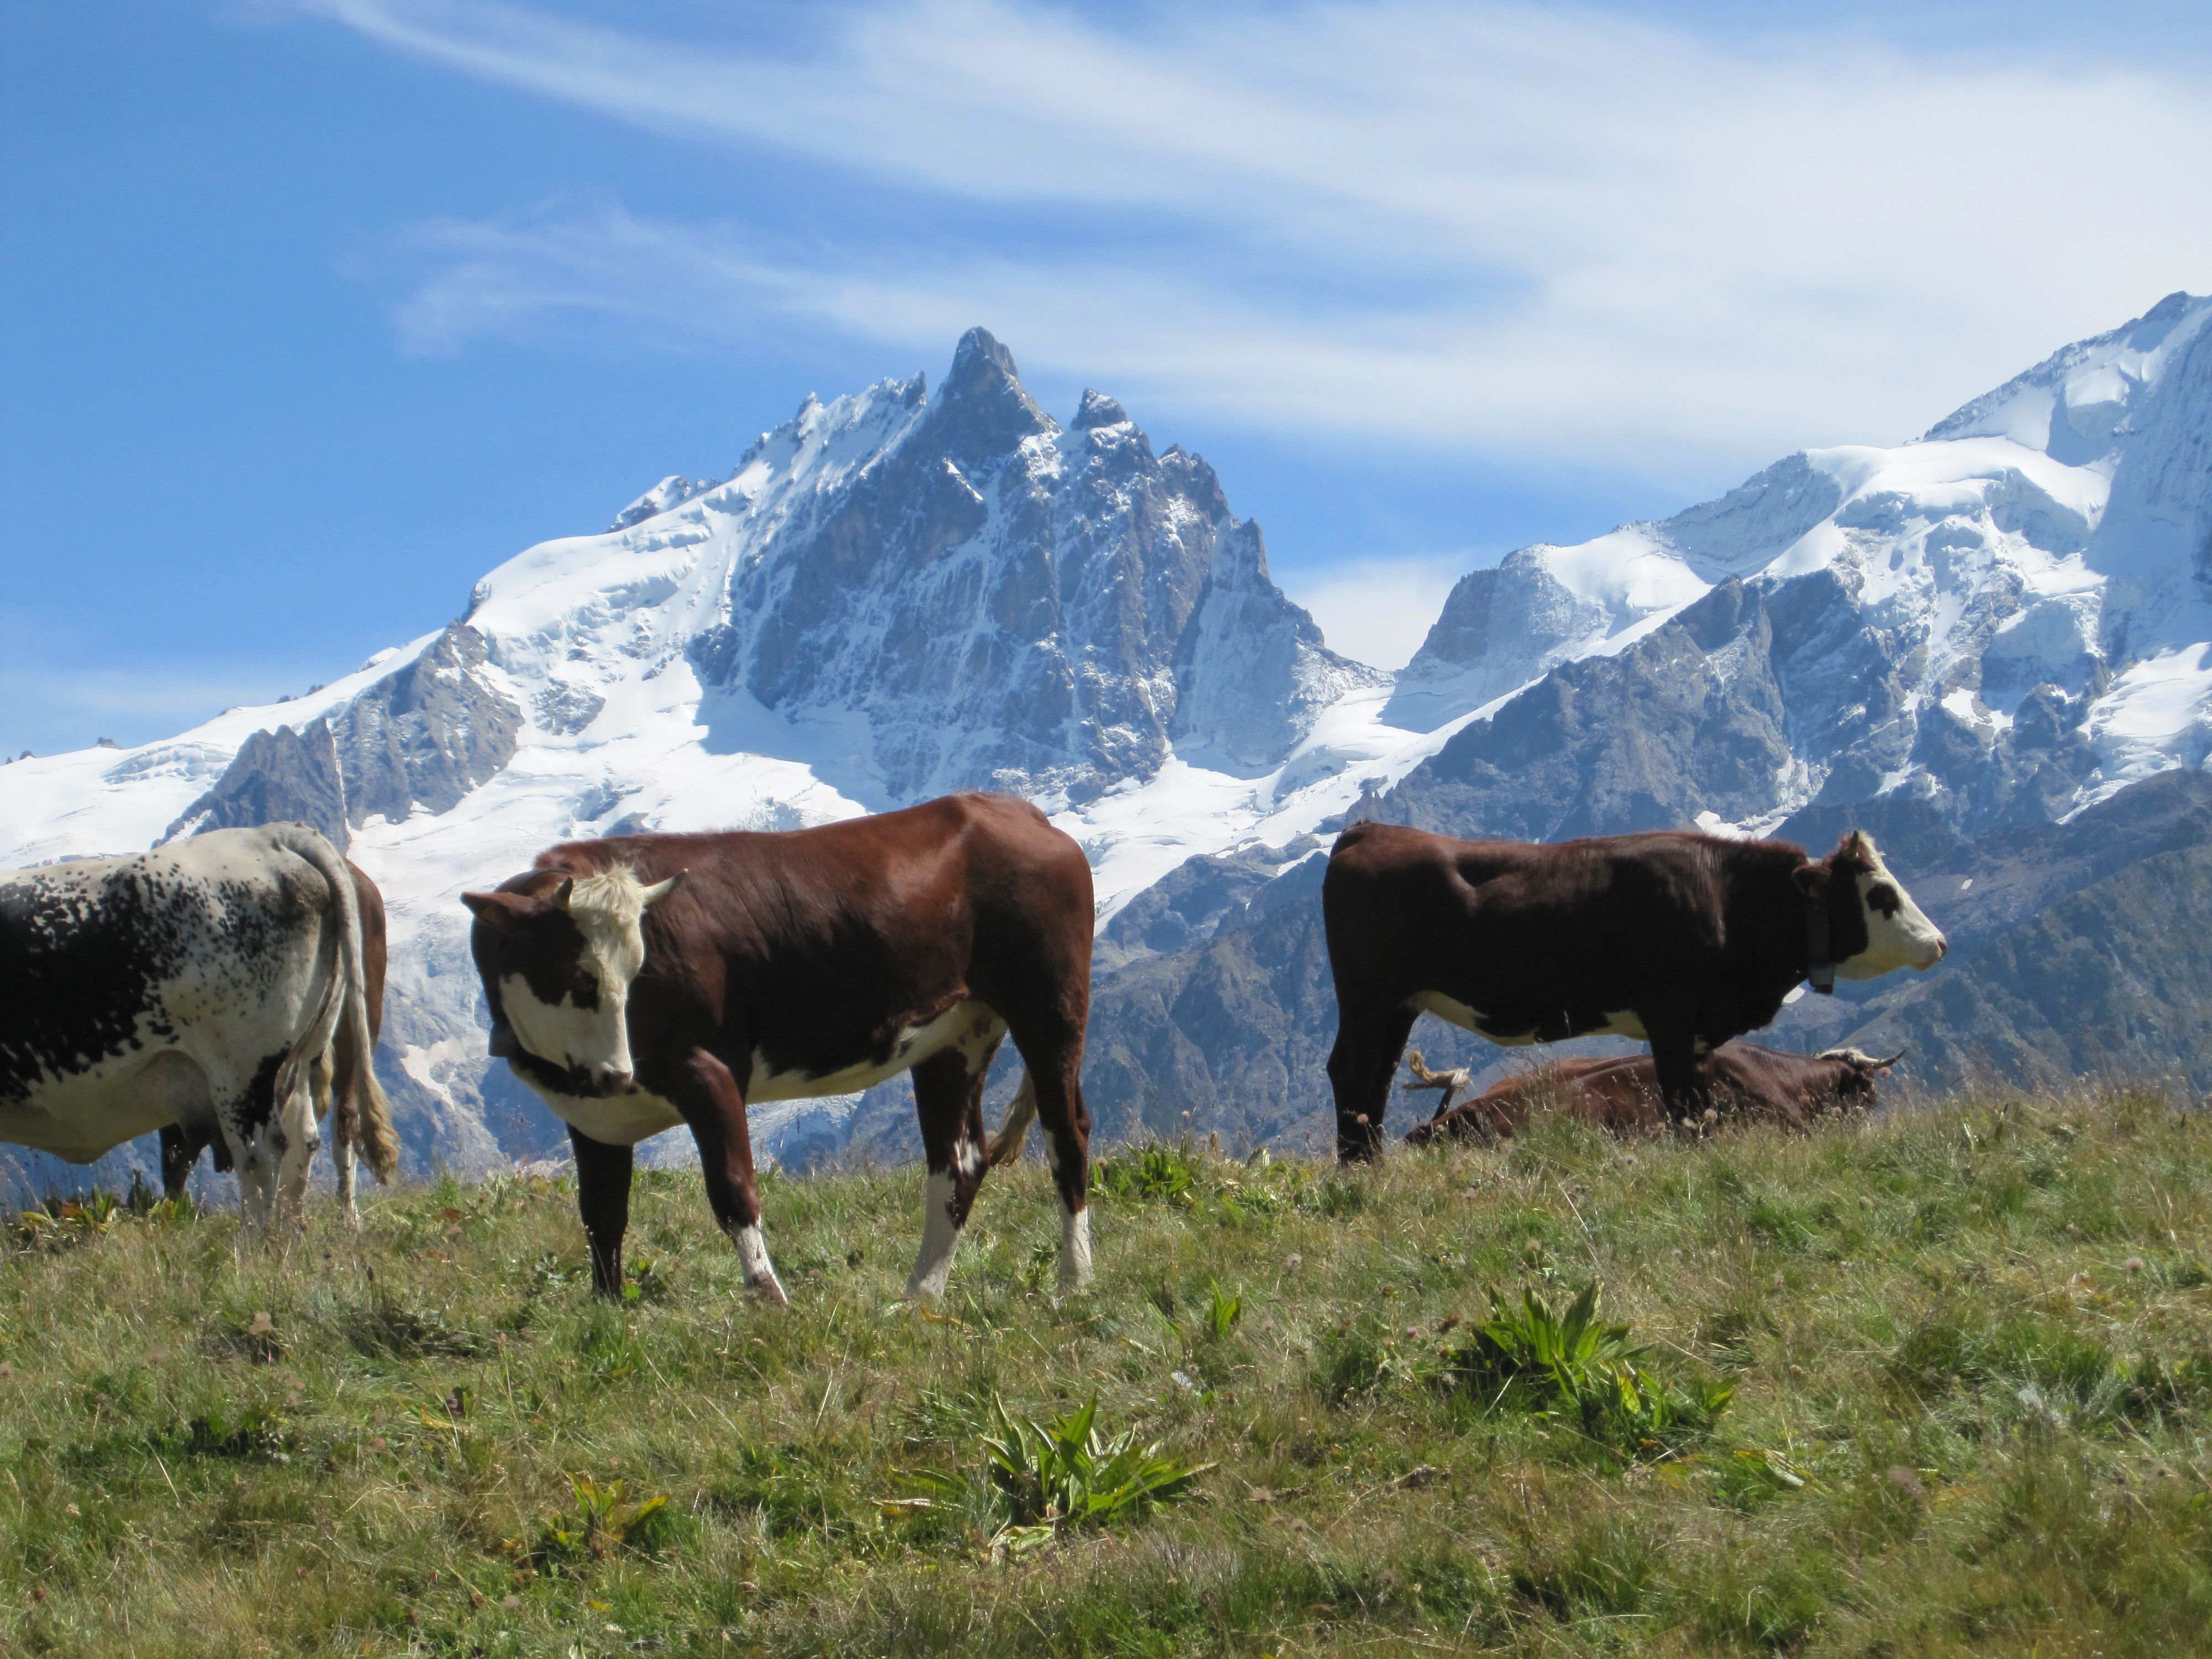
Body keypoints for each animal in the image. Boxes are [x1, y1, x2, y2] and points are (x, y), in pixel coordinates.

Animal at [460, 796, 1097, 1310]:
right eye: (580, 975)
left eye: (637, 969)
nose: (618, 1072)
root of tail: (1016, 810)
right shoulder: (593, 1116)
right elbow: (601, 1214)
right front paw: (607, 1308)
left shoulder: (708, 1068)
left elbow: (732, 1190)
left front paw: (768, 1301)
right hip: (955, 1034)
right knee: (958, 1161)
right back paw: (919, 1296)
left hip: (1051, 1005)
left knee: (1067, 1136)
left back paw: (1074, 1282)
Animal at [1310, 827, 1938, 1159]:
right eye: (1880, 893)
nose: (1939, 942)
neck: (1725, 898)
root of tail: (1374, 830)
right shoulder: (1672, 1015)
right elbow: (1681, 1101)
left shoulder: (1698, 1031)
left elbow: (1696, 1101)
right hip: (1367, 997)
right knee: (1349, 1071)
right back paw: (1356, 1171)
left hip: (1399, 1006)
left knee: (1378, 1079)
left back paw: (1372, 1162)